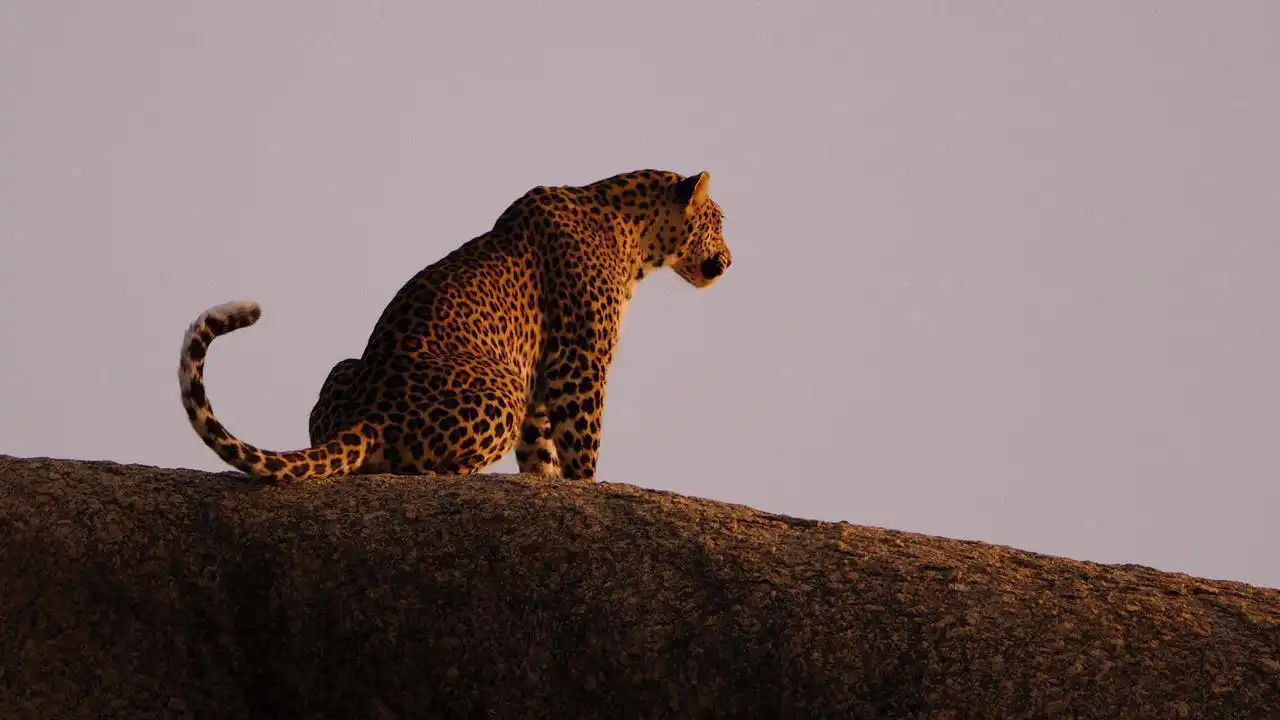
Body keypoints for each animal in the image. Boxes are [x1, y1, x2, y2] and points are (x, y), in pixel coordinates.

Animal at [178, 169, 731, 482]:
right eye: (720, 221)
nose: (730, 260)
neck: (634, 234)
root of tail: (366, 416)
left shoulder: (539, 379)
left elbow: (539, 445)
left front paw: (546, 480)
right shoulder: (579, 360)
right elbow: (583, 436)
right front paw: (586, 485)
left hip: (346, 368)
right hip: (503, 388)